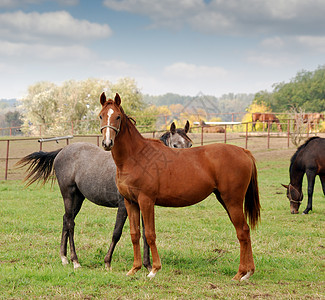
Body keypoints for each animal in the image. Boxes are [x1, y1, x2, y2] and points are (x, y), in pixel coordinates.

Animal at [17, 120, 191, 270]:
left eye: (190, 144)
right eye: (175, 145)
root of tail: (62, 151)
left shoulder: (144, 205)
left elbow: (146, 233)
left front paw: (148, 266)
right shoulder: (124, 206)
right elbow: (117, 233)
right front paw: (107, 262)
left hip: (78, 198)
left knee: (66, 219)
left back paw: (64, 257)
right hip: (69, 195)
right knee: (70, 223)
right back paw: (75, 261)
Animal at [98, 93, 260, 282]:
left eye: (117, 117)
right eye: (101, 116)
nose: (107, 143)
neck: (136, 156)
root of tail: (244, 152)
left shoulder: (146, 201)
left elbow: (150, 234)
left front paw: (154, 269)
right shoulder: (130, 202)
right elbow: (134, 234)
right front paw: (134, 269)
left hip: (232, 201)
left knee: (242, 231)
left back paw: (241, 273)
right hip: (225, 200)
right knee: (245, 230)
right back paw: (248, 272)